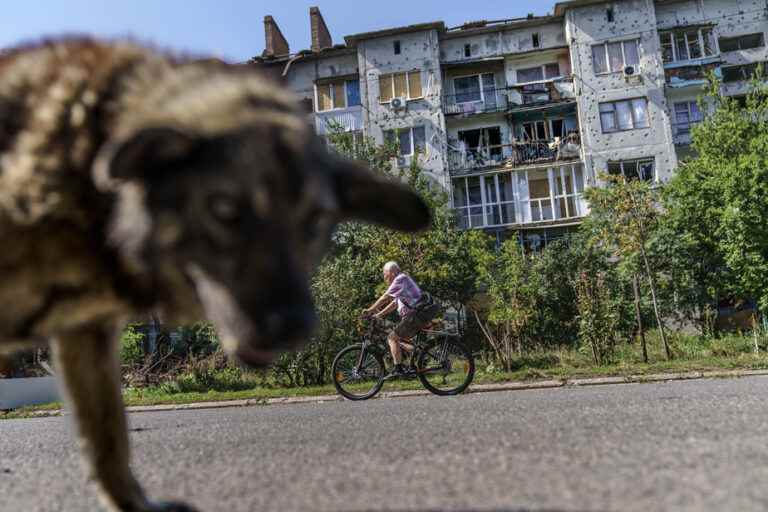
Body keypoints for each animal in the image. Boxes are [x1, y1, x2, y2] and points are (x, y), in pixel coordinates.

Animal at [0, 40, 432, 512]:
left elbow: (108, 438)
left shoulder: (86, 334)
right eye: (225, 210)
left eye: (315, 221)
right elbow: (105, 436)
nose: (295, 327)